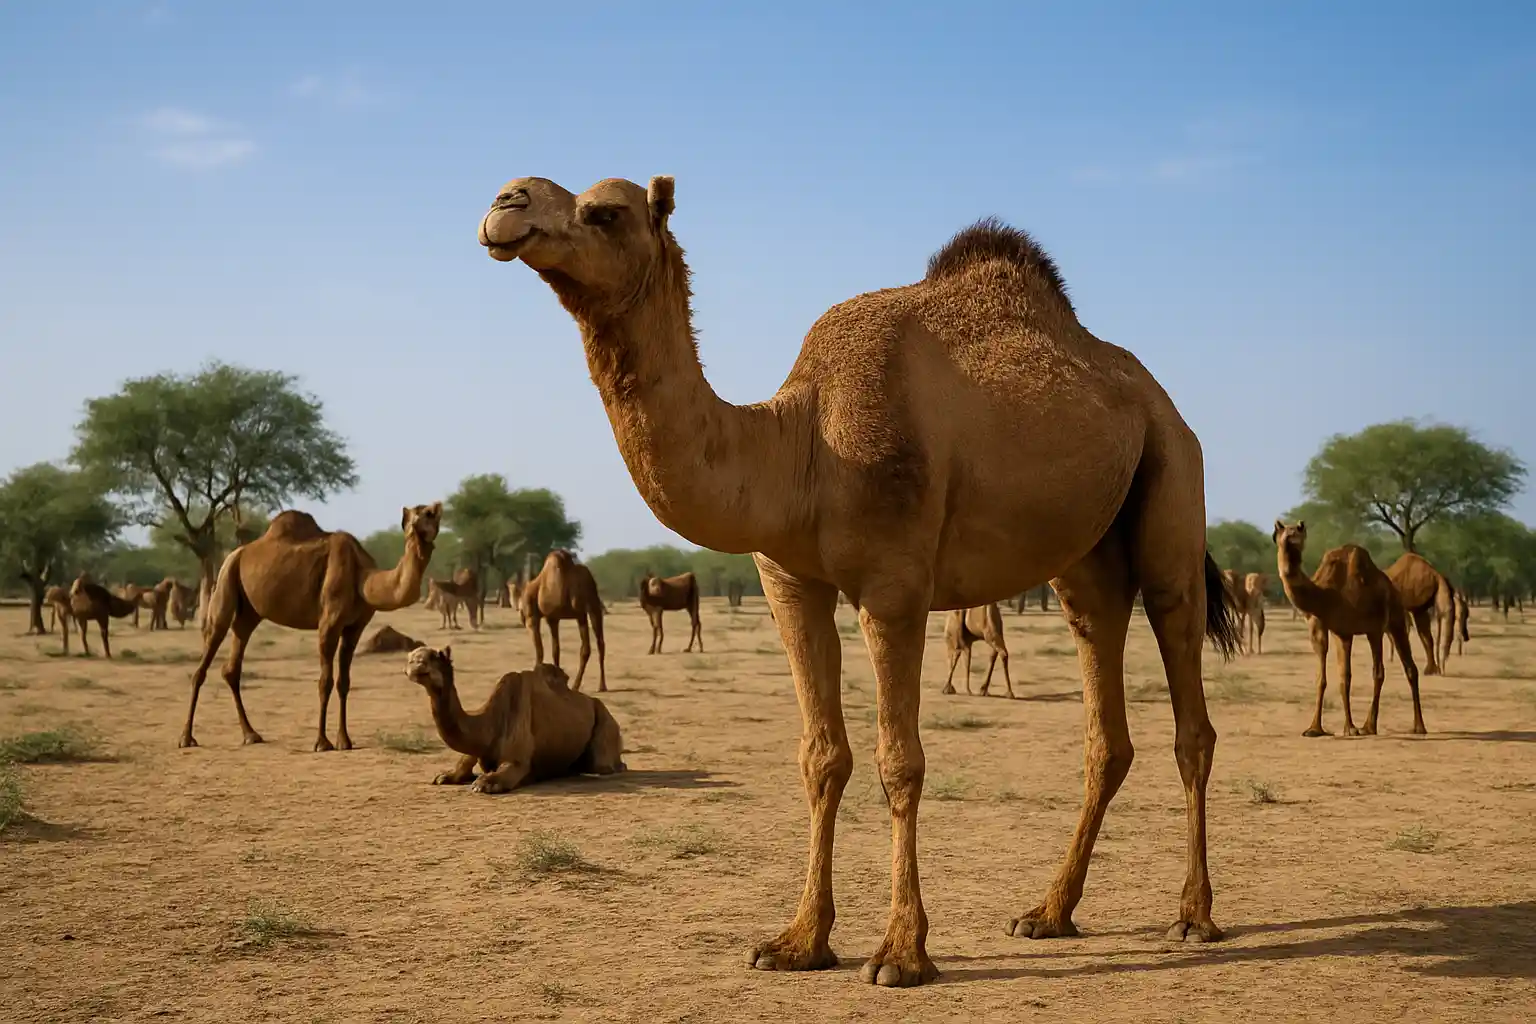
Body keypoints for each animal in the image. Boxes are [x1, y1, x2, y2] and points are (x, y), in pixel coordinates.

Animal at [179, 502, 442, 751]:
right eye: (426, 513)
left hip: (249, 611)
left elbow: (344, 682)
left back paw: (250, 735)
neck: (363, 577)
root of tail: (237, 552)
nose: (439, 507)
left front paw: (344, 740)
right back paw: (186, 738)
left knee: (233, 662)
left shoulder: (355, 627)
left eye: (433, 513)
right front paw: (322, 742)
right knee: (207, 653)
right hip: (226, 577)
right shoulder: (329, 623)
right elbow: (325, 682)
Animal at [404, 645, 625, 792]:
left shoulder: (518, 757)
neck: (489, 722)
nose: (415, 664)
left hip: (606, 721)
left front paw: (483, 783)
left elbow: (507, 770)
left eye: (435, 657)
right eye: (411, 659)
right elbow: (463, 764)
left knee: (601, 765)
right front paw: (445, 776)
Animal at [519, 550, 607, 692]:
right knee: (593, 645)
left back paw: (587, 685)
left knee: (593, 645)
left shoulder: (532, 618)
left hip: (588, 609)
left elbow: (540, 651)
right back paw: (591, 685)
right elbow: (556, 649)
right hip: (586, 611)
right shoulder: (553, 618)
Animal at [1272, 521, 1425, 737]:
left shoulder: (1371, 628)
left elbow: (1375, 673)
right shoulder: (1332, 629)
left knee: (1401, 668)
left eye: (1298, 535)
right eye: (1277, 535)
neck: (1325, 596)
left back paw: (1405, 726)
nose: (1289, 545)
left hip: (1394, 619)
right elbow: (1335, 677)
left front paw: (1355, 728)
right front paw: (1317, 728)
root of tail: (1392, 587)